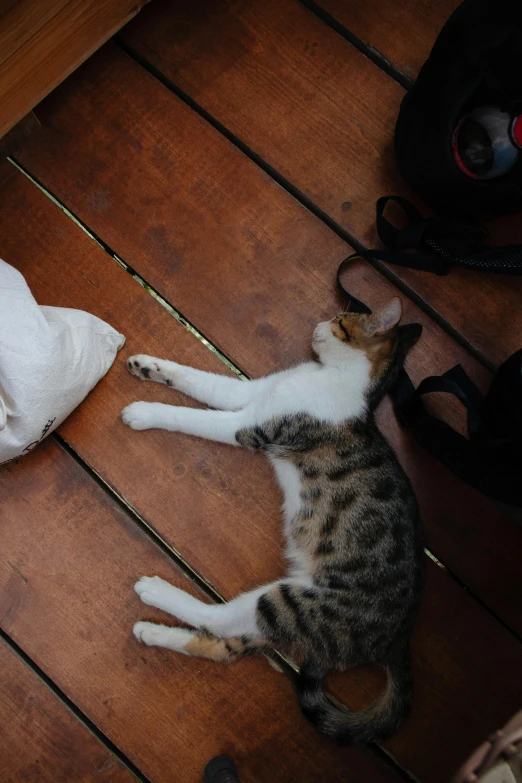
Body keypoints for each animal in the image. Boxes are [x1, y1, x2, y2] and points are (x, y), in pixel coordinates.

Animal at [122, 298, 422, 748]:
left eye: (340, 320)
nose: (320, 321)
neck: (330, 376)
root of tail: (399, 636)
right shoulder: (253, 393)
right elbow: (202, 381)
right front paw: (149, 366)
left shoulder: (251, 426)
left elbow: (193, 416)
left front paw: (144, 411)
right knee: (225, 648)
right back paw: (153, 632)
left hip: (294, 604)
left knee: (219, 618)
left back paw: (156, 592)